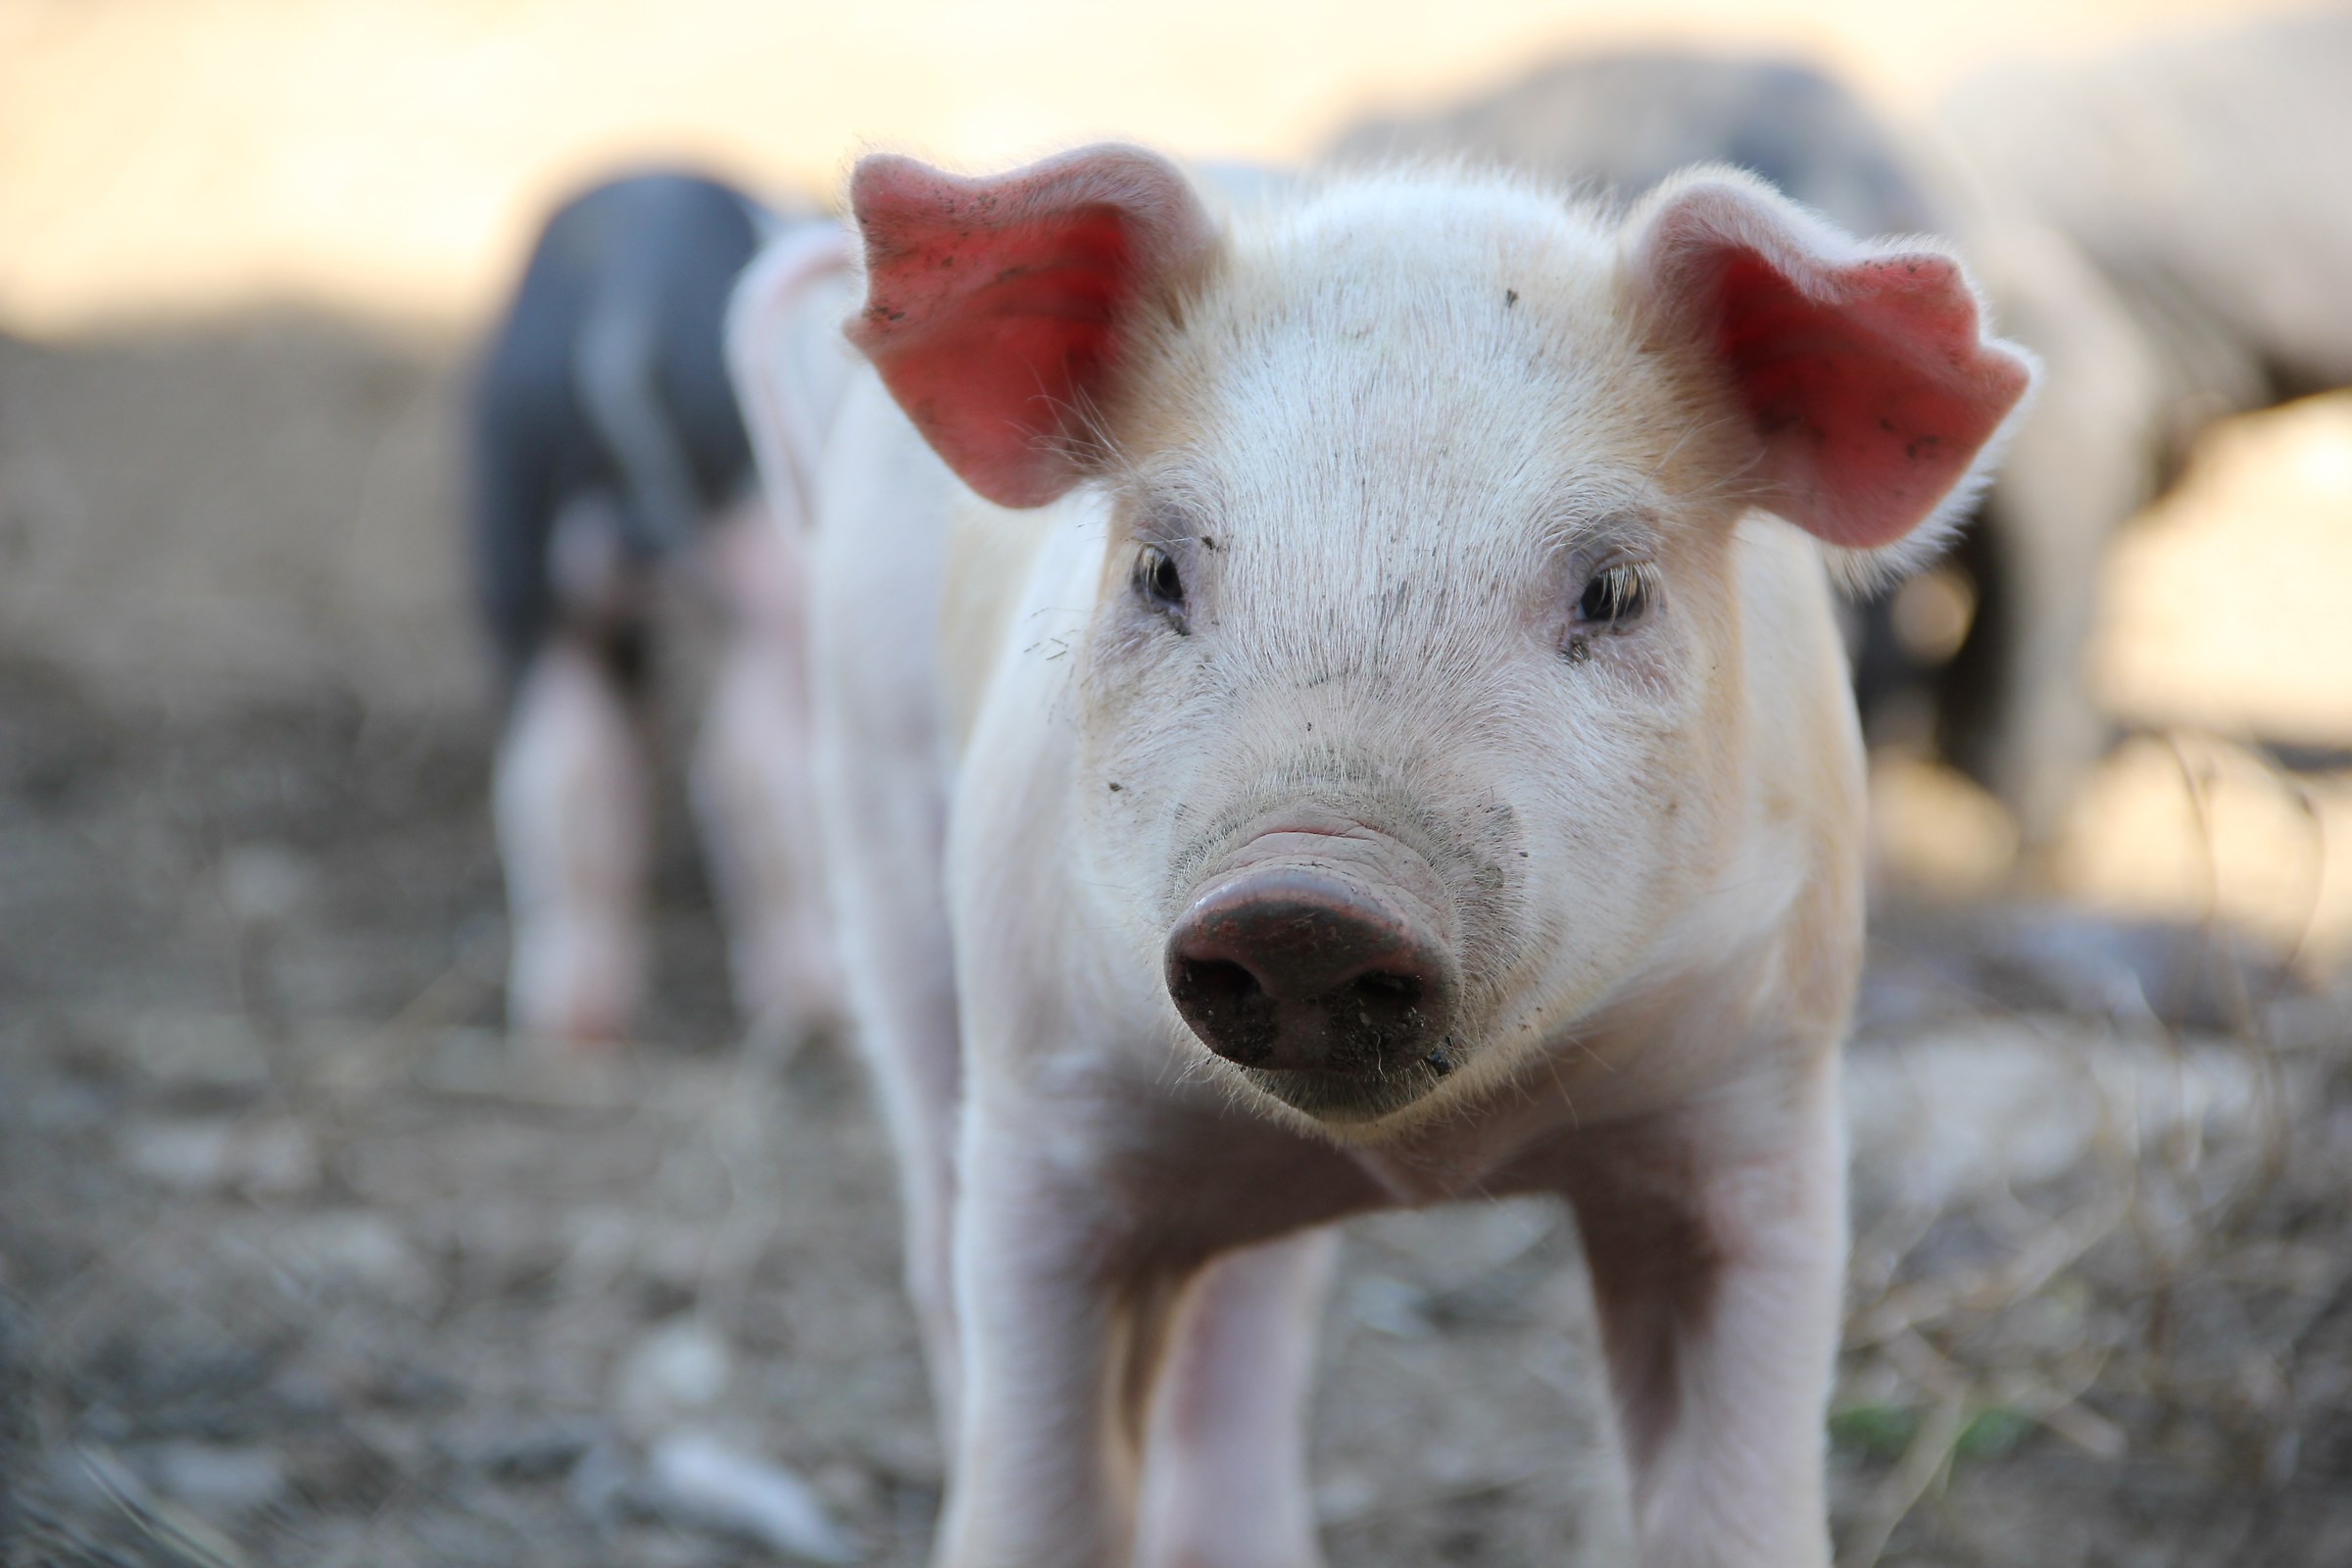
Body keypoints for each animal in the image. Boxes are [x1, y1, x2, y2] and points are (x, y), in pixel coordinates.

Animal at [469, 170, 840, 1047]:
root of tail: (624, 311)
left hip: (519, 543)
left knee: (556, 765)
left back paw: (573, 1024)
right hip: (771, 575)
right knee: (752, 763)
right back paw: (817, 1003)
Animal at [738, 145, 2033, 1566]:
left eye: (1617, 592)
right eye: (1158, 571)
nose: (1307, 899)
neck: (1437, 1163)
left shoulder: (1764, 1109)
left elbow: (1738, 1504)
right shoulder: (1045, 1097)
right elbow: (1037, 1495)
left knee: (1245, 1316)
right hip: (883, 835)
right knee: (940, 1226)